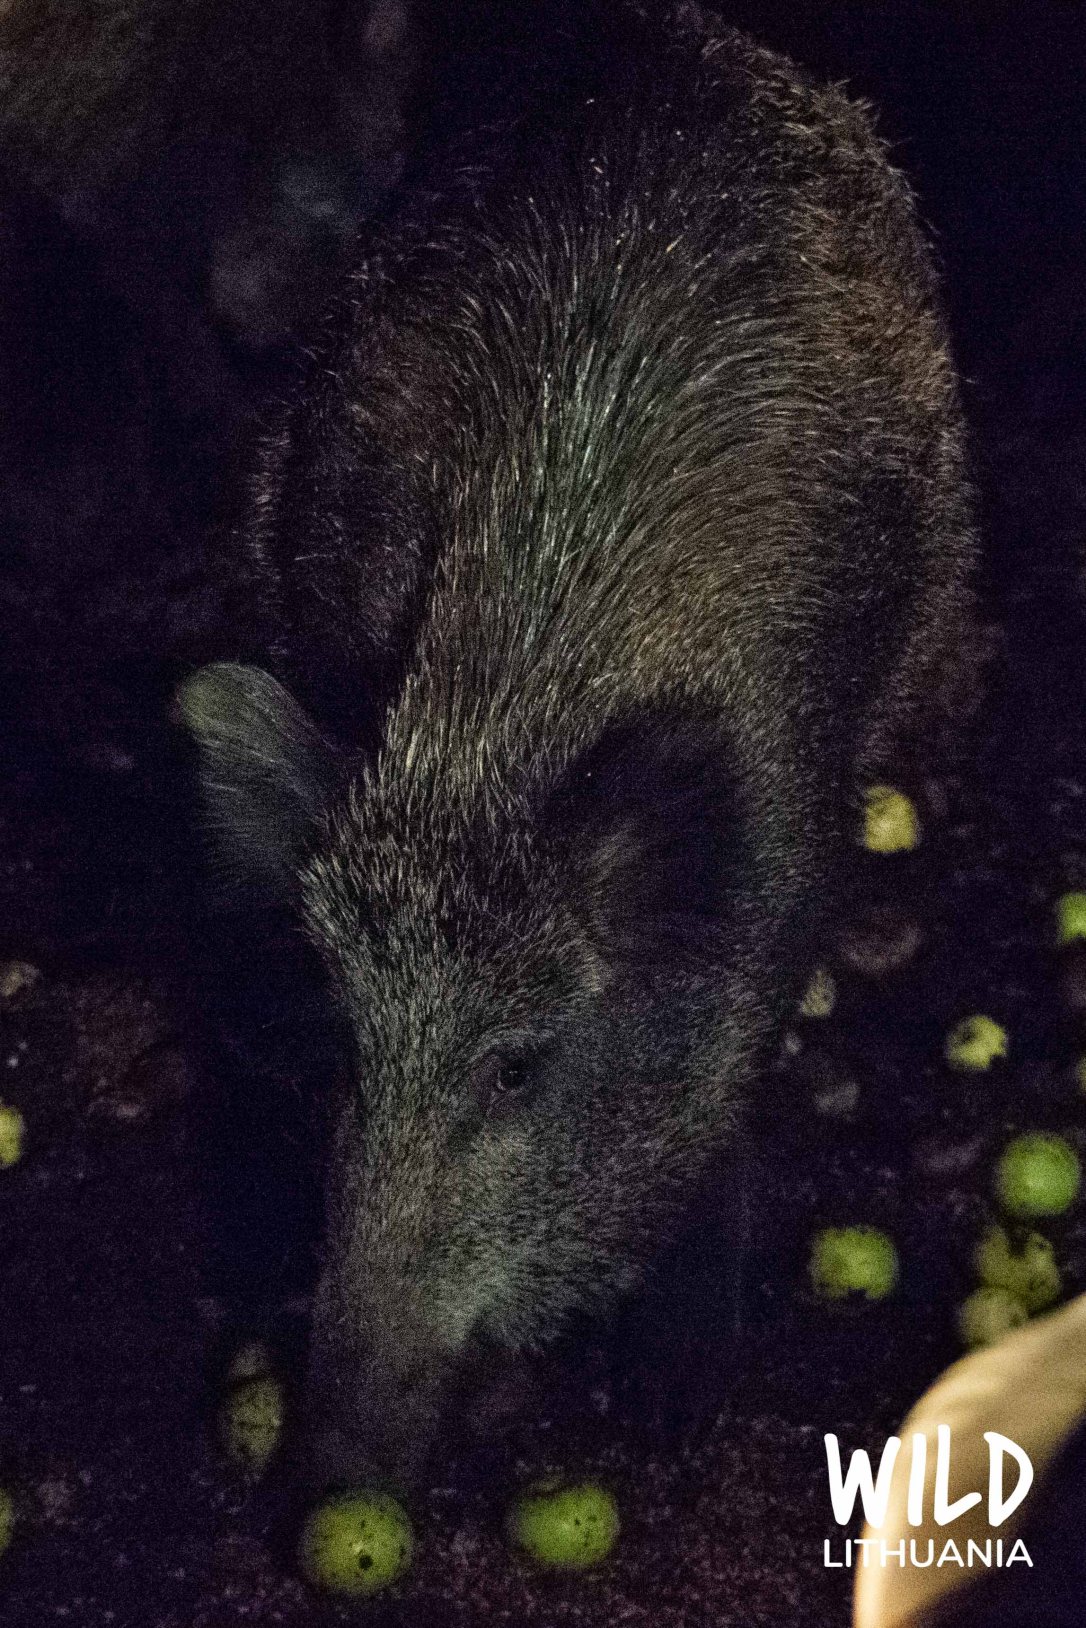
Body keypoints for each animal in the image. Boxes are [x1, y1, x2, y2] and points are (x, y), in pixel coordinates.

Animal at [179, 0, 976, 1494]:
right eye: (350, 1045)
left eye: (518, 1064)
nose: (333, 1465)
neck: (486, 736)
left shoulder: (786, 845)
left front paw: (671, 1399)